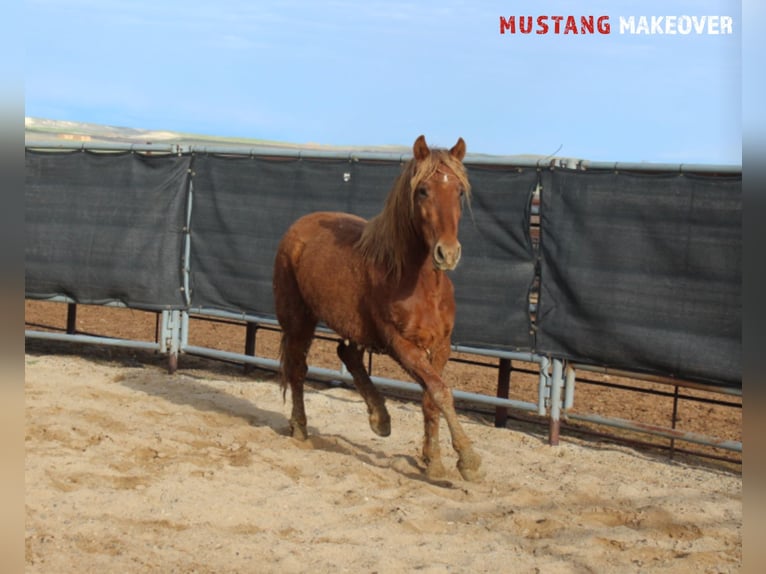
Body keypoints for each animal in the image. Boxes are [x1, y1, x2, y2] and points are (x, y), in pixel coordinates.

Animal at [272, 136, 484, 482]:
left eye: (459, 192)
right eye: (422, 190)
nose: (448, 254)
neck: (417, 282)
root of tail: (299, 226)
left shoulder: (441, 346)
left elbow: (431, 397)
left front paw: (433, 461)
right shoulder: (401, 344)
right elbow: (440, 391)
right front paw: (467, 460)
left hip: (353, 325)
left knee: (347, 354)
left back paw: (380, 417)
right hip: (300, 320)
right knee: (298, 369)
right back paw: (301, 428)